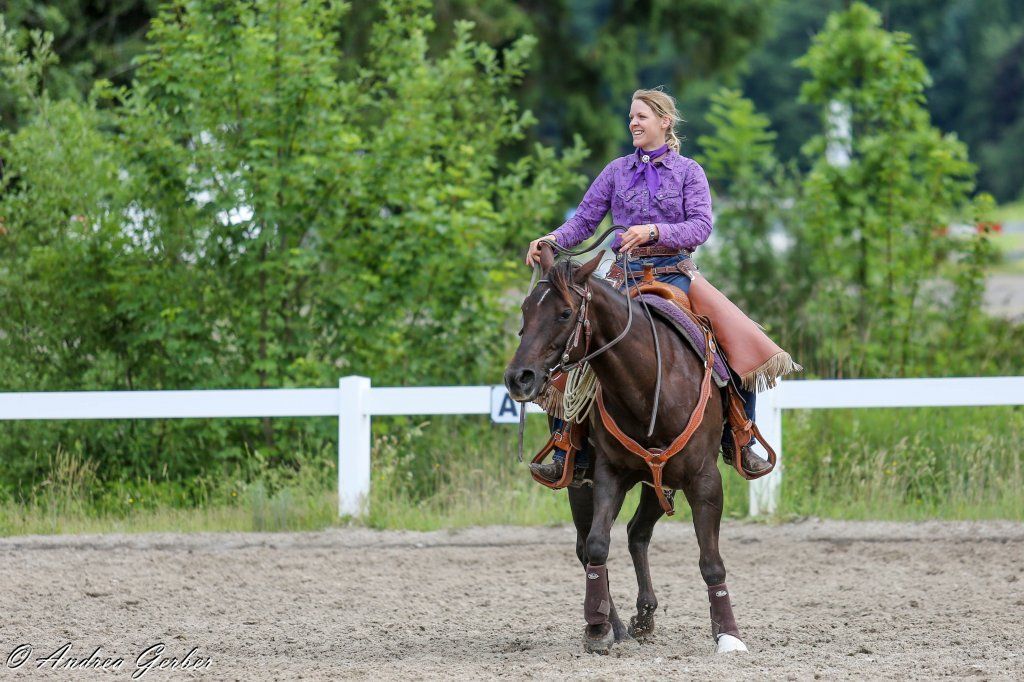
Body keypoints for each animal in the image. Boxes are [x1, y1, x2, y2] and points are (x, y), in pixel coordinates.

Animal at [503, 246, 749, 655]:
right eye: (525, 310)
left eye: (565, 312)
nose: (518, 378)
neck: (650, 386)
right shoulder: (609, 475)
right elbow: (598, 545)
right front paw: (597, 629)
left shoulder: (703, 479)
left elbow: (711, 561)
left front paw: (728, 634)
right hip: (582, 485)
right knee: (588, 546)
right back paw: (615, 624)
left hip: (660, 483)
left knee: (638, 533)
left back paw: (645, 615)